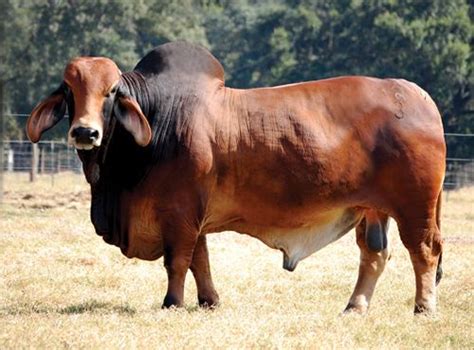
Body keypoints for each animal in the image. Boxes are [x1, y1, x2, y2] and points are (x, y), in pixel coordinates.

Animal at [26, 41, 448, 314]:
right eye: (69, 90)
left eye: (111, 91)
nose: (85, 132)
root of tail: (420, 97)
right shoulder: (191, 215)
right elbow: (200, 260)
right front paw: (208, 301)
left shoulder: (179, 214)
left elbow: (178, 261)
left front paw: (172, 302)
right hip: (372, 209)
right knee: (374, 255)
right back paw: (354, 307)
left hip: (414, 206)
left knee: (424, 250)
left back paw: (423, 307)